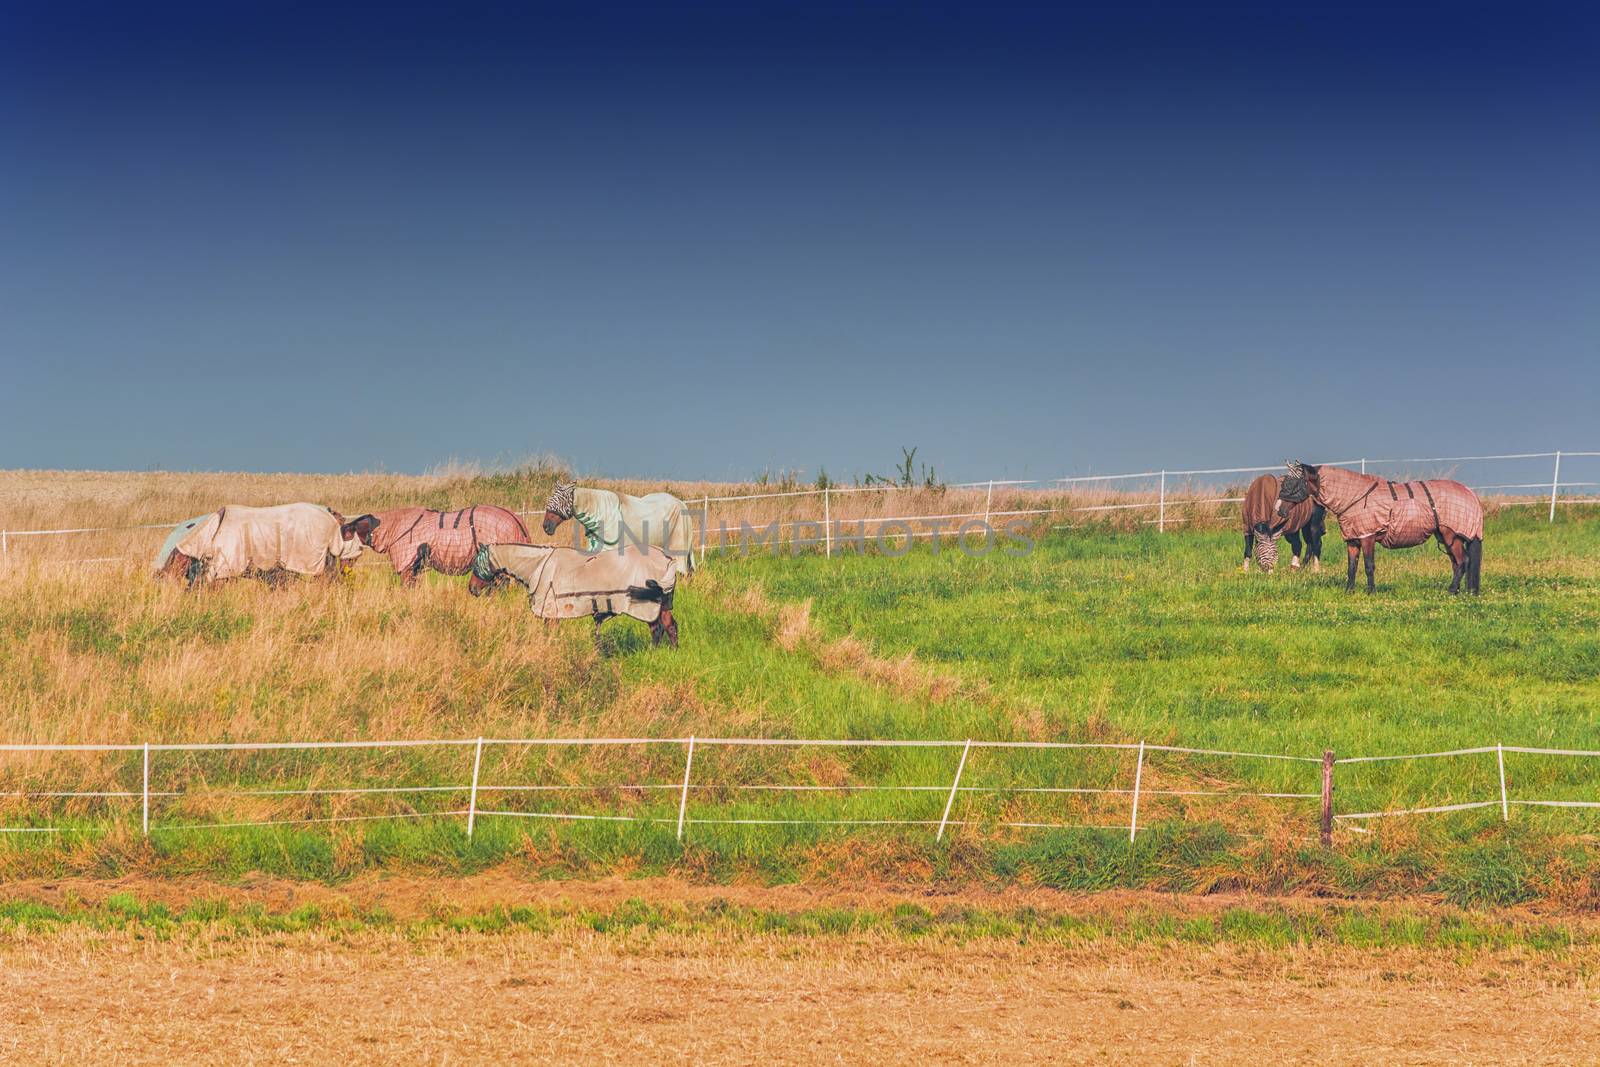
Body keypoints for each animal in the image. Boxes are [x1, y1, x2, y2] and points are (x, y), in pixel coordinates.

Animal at [467, 543, 681, 652]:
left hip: (647, 607)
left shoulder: (551, 612)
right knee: (668, 627)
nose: (472, 589)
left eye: (477, 561)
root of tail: (668, 559)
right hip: (662, 606)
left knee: (658, 629)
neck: (538, 566)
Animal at [1273, 460, 1484, 591]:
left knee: (1463, 561)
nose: (1278, 510)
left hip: (1450, 535)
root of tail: (1471, 495)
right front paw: (1349, 590)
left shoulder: (1367, 537)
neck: (1355, 497)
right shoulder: (1353, 540)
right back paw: (1458, 590)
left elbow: (1368, 565)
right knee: (1457, 563)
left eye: (1294, 483)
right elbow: (1352, 566)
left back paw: (1452, 589)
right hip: (1446, 536)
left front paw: (1371, 591)